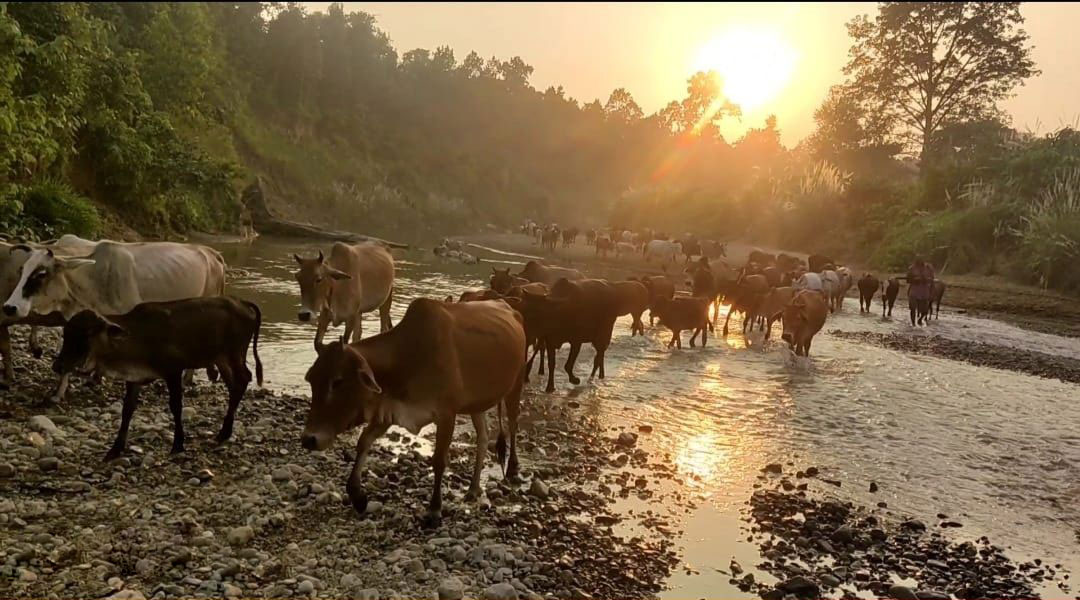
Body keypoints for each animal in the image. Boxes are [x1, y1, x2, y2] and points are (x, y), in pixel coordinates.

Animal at [52, 297, 262, 460]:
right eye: (65, 334)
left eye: (87, 334)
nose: (58, 366)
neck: (136, 337)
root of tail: (243, 302)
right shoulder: (135, 378)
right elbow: (127, 410)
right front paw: (115, 449)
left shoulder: (173, 371)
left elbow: (176, 406)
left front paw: (178, 444)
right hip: (220, 358)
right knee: (235, 384)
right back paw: (225, 432)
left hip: (234, 353)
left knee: (244, 378)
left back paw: (224, 431)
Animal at [299, 298, 526, 527]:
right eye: (311, 379)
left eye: (337, 382)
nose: (309, 439)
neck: (406, 358)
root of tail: (508, 306)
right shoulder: (388, 409)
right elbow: (364, 442)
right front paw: (357, 496)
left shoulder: (447, 414)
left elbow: (439, 460)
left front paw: (434, 510)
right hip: (475, 404)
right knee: (483, 437)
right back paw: (473, 488)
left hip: (515, 385)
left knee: (513, 425)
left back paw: (513, 468)